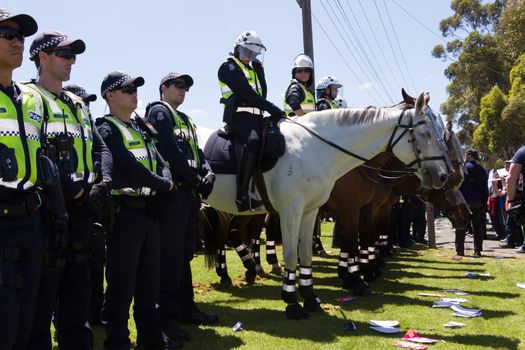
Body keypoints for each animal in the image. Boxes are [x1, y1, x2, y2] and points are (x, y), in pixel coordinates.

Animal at [201, 93, 450, 320]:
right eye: (426, 134)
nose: (443, 176)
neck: (314, 149)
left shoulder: (311, 211)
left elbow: (306, 253)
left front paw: (310, 297)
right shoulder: (297, 210)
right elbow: (298, 252)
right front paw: (293, 302)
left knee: (230, 232)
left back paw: (245, 271)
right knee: (228, 233)